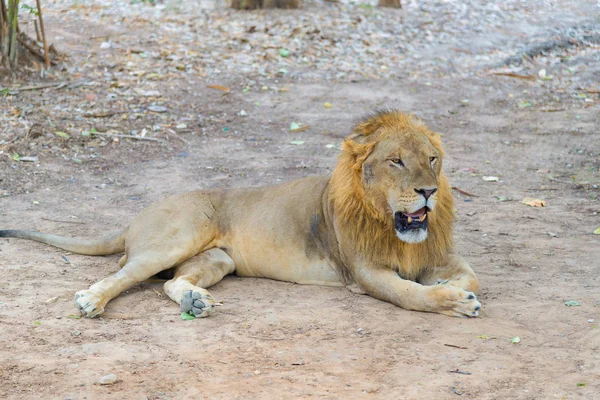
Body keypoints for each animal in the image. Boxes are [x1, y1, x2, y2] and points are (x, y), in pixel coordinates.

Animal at [0, 109, 478, 318]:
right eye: (396, 161)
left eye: (432, 159)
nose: (429, 192)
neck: (389, 224)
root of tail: (136, 217)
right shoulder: (364, 272)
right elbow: (411, 295)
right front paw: (453, 301)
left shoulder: (435, 253)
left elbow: (470, 275)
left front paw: (453, 287)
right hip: (176, 237)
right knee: (120, 274)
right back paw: (90, 300)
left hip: (218, 259)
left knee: (171, 282)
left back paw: (194, 300)